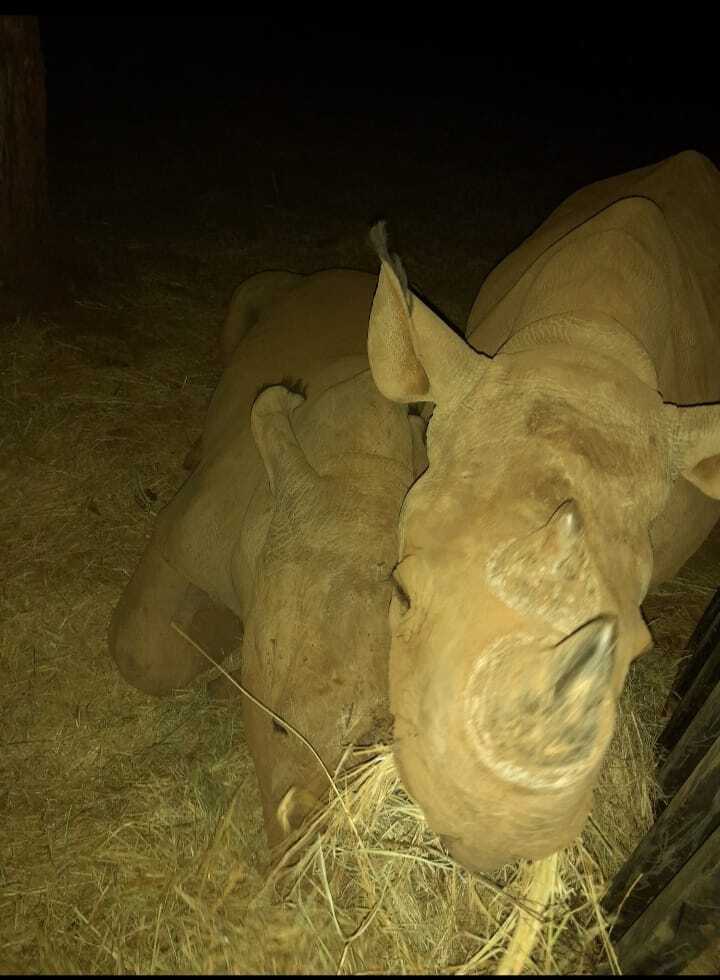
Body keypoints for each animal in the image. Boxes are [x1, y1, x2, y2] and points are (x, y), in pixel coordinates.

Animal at [110, 269, 425, 843]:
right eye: (275, 724)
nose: (302, 835)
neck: (354, 467)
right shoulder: (186, 532)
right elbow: (144, 653)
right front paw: (218, 650)